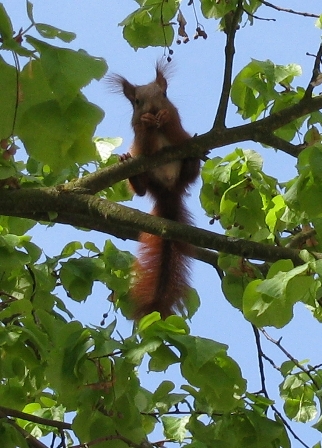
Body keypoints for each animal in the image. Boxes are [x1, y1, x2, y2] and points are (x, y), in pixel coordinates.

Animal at [112, 63, 199, 320]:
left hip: (186, 170)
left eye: (164, 94)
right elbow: (145, 140)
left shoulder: (179, 131)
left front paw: (164, 117)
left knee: (190, 174)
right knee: (141, 190)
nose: (152, 109)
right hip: (146, 174)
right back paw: (130, 170)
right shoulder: (141, 142)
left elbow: (175, 127)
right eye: (137, 102)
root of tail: (168, 192)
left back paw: (192, 161)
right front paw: (148, 120)